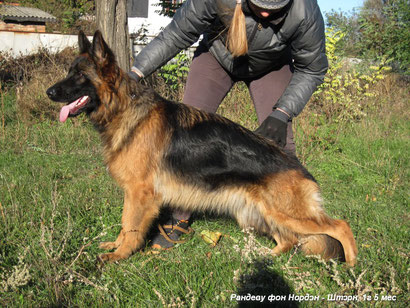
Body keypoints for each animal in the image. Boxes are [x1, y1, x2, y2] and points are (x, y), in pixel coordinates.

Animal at [46, 31, 358, 268]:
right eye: (69, 72)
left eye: (79, 76)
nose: (49, 92)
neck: (125, 108)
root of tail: (300, 168)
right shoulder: (133, 195)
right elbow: (124, 224)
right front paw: (116, 245)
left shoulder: (140, 194)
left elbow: (131, 227)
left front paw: (120, 255)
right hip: (260, 214)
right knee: (288, 239)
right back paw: (263, 258)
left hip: (287, 215)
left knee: (340, 226)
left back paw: (352, 268)